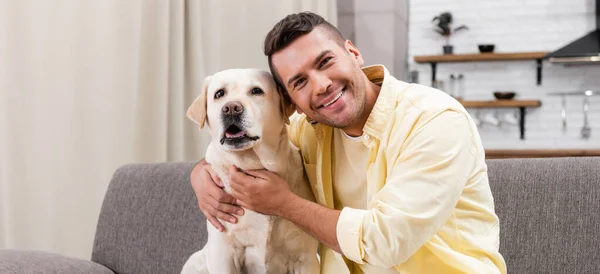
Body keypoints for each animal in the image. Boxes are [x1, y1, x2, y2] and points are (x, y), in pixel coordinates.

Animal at [183, 69, 322, 274]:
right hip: (195, 262)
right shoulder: (224, 254)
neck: (253, 166)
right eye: (219, 94)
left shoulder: (305, 258)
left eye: (256, 91)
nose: (231, 108)